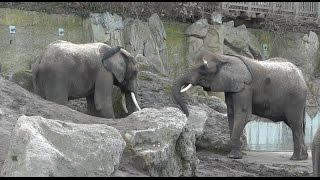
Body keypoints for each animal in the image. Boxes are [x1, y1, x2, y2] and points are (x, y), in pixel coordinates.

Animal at [174, 48, 308, 160]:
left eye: (203, 70)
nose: (187, 115)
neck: (223, 57)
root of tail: (302, 76)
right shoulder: (232, 87)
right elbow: (231, 115)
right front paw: (233, 155)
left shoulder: (245, 87)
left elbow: (243, 115)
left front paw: (233, 157)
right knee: (296, 124)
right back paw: (303, 157)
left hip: (295, 98)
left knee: (294, 123)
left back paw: (295, 158)